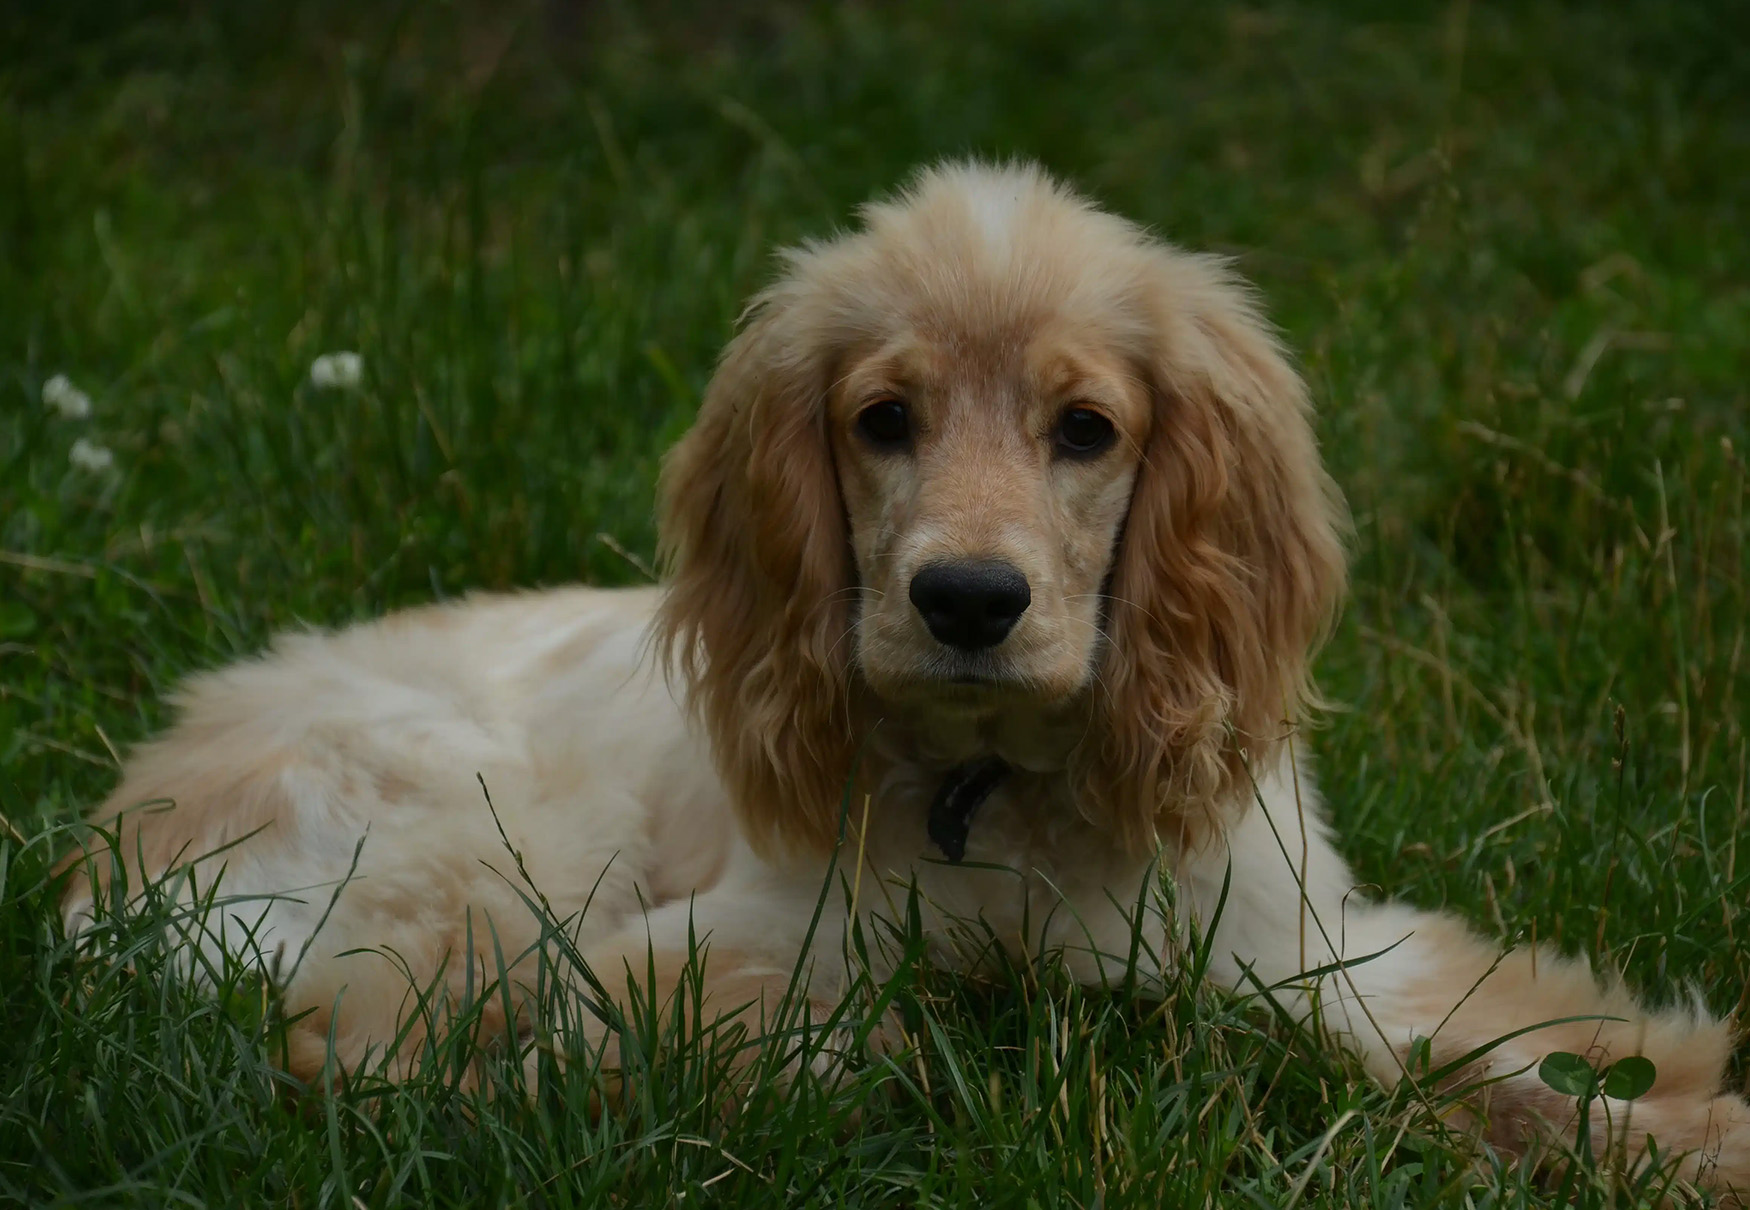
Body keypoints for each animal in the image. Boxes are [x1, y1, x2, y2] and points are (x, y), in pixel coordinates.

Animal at [64, 165, 1750, 1197]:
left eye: (1086, 427)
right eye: (884, 419)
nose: (966, 600)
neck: (994, 787)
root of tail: (100, 849)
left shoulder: (1292, 943)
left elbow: (1461, 1048)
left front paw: (1675, 1123)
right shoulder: (710, 947)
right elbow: (723, 1027)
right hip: (482, 842)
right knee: (351, 1059)